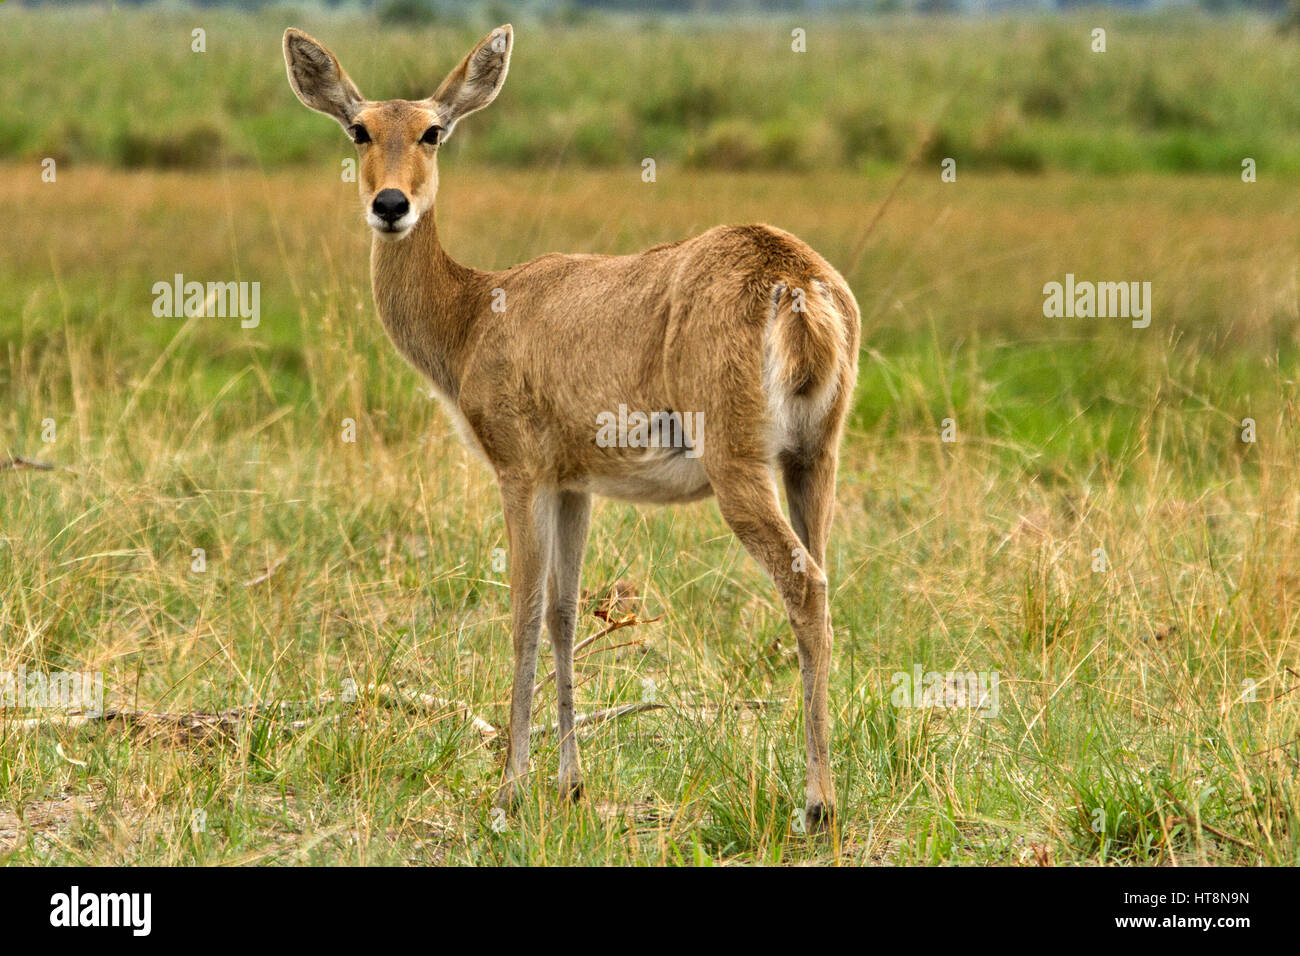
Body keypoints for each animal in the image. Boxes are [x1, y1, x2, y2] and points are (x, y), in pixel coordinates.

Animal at [287, 22, 863, 832]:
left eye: (433, 130)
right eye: (359, 129)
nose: (390, 204)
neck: (471, 314)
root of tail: (800, 285)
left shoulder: (519, 469)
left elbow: (523, 612)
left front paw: (508, 790)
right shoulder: (575, 483)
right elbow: (564, 612)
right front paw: (570, 783)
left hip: (738, 464)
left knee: (802, 582)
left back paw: (817, 804)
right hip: (816, 456)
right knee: (824, 577)